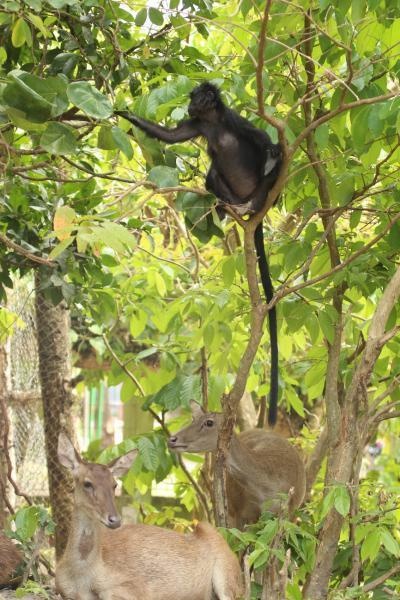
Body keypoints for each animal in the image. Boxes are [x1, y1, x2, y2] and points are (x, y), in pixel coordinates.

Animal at [56, 434, 242, 600]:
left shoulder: (137, 589)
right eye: (87, 483)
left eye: (114, 484)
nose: (115, 520)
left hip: (227, 576)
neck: (81, 577)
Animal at [116, 83, 282, 426]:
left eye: (195, 98)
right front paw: (124, 114)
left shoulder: (235, 121)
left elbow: (264, 139)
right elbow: (169, 136)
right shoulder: (198, 126)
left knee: (266, 173)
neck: (215, 123)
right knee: (212, 173)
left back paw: (254, 200)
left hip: (261, 193)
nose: (190, 104)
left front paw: (274, 153)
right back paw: (225, 208)